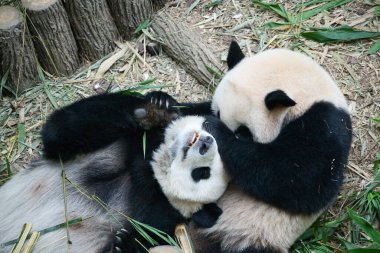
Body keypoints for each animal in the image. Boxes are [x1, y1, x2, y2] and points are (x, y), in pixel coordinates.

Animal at [0, 94, 229, 253]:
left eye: (203, 173)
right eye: (209, 126)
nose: (205, 143)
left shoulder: (156, 211)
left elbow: (148, 234)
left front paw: (120, 244)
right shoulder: (116, 145)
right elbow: (62, 128)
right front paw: (158, 107)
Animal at [148, 42, 354, 253]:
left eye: (243, 132)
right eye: (217, 112)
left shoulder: (325, 122)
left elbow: (300, 178)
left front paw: (217, 131)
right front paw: (161, 103)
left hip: (256, 236)